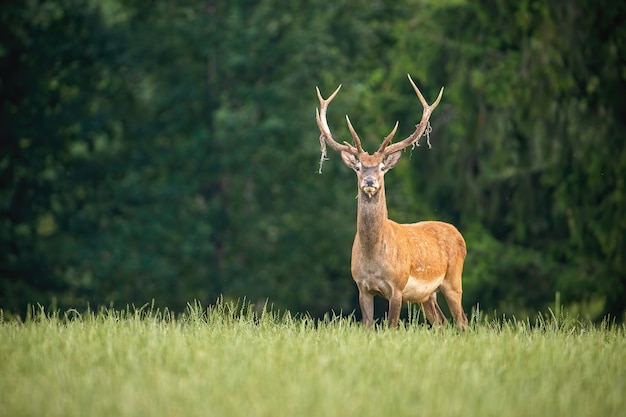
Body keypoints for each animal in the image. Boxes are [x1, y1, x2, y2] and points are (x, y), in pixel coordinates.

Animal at [314, 75, 466, 328]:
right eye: (359, 167)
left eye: (381, 168)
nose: (369, 181)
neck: (374, 258)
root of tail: (459, 235)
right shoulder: (362, 287)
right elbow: (367, 326)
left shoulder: (397, 286)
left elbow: (391, 327)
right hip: (428, 295)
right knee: (442, 322)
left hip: (453, 280)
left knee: (462, 321)